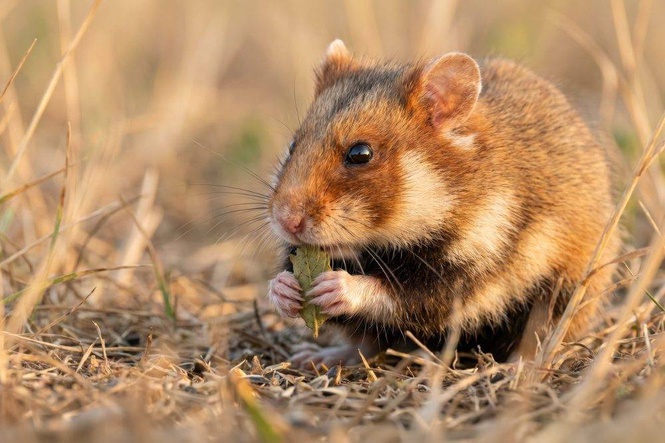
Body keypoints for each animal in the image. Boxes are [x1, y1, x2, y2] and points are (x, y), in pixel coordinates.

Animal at [266, 39, 619, 367]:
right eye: (293, 145)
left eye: (360, 153)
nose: (286, 221)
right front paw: (284, 289)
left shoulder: (469, 274)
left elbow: (399, 296)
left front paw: (333, 286)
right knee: (363, 344)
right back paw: (314, 357)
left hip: (566, 292)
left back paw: (517, 368)